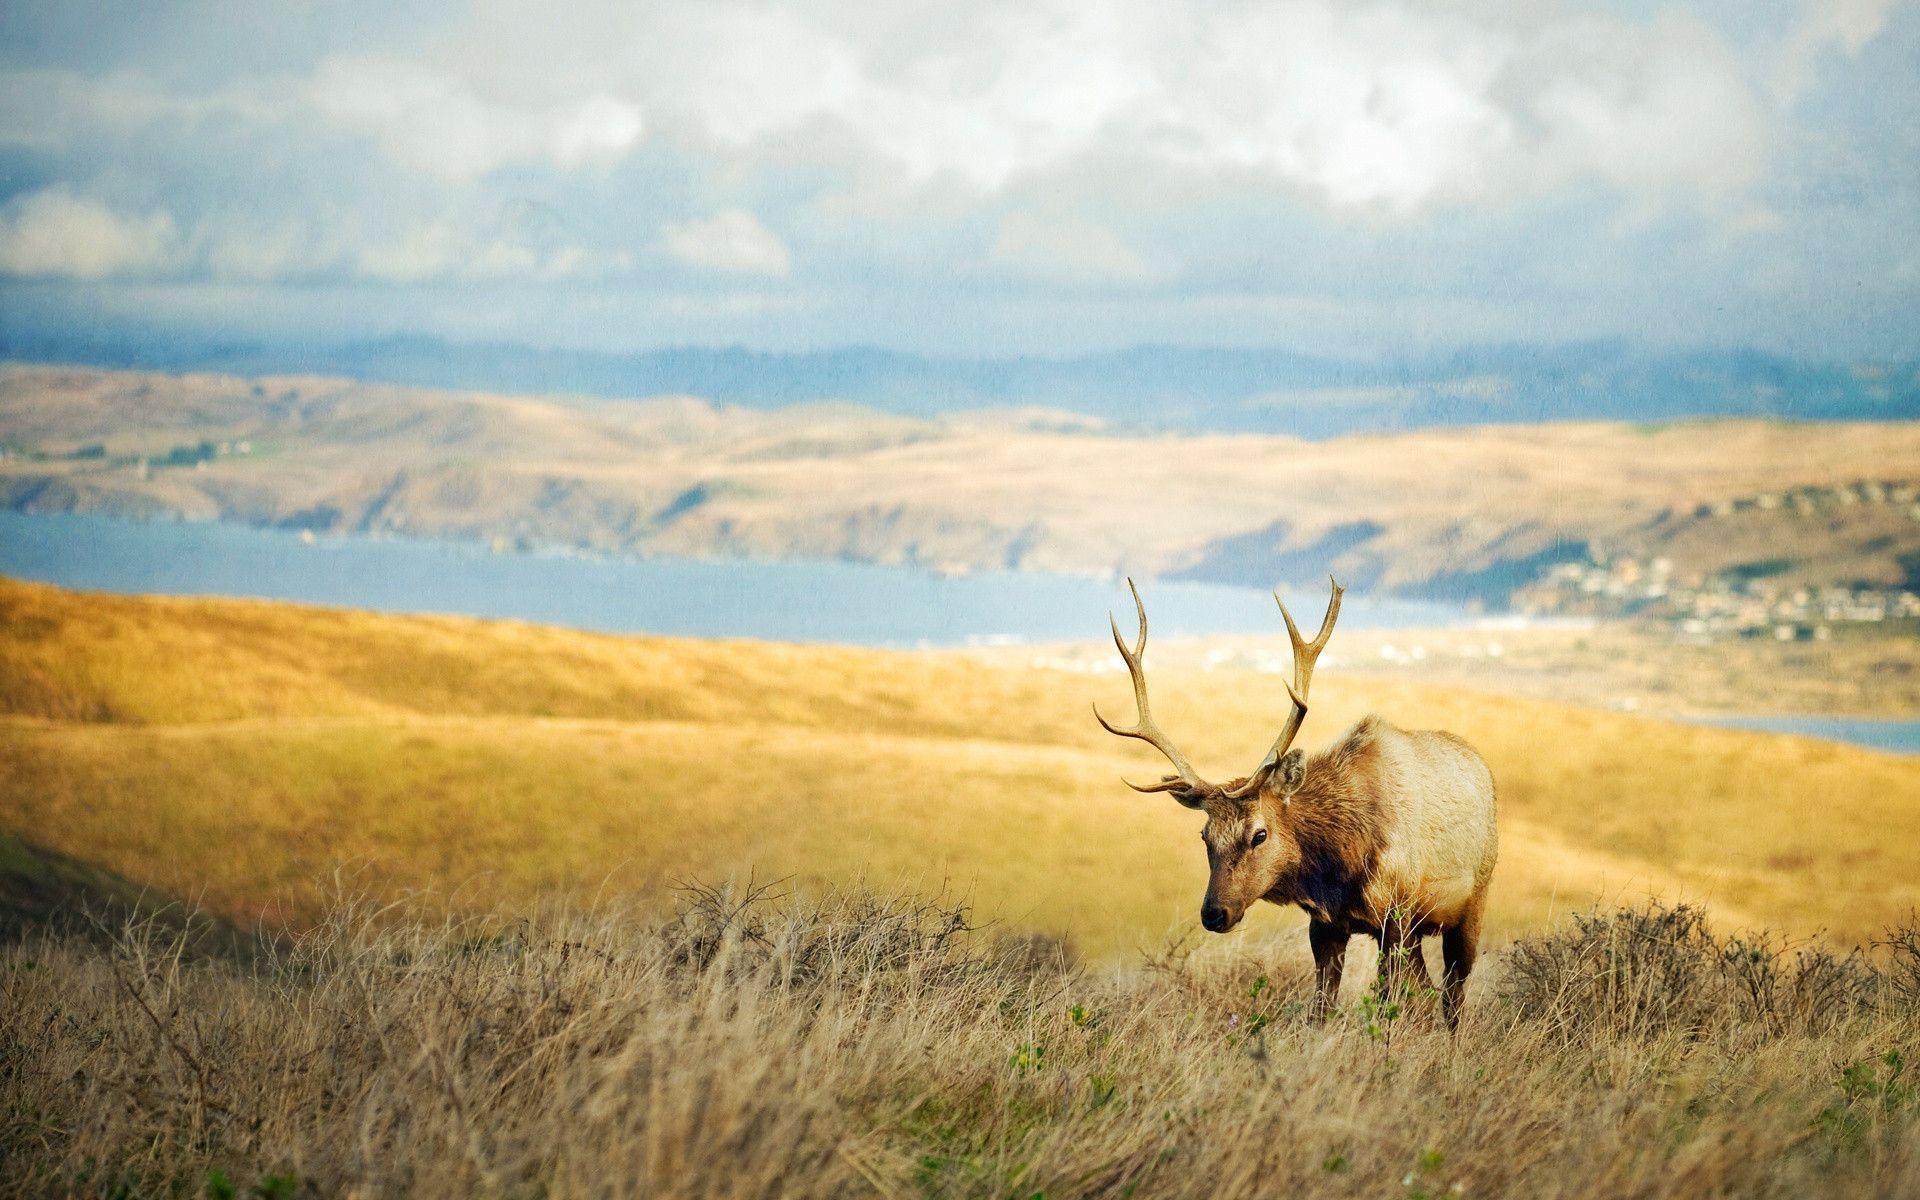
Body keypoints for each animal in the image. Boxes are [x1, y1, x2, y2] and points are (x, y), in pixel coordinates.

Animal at [1094, 577, 1497, 1027]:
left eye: (1259, 834)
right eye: (1204, 836)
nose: (1214, 913)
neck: (1339, 866)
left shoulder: (1396, 915)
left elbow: (1386, 1005)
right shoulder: (1326, 925)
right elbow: (1321, 1008)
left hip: (1471, 903)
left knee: (1452, 996)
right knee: (1429, 990)